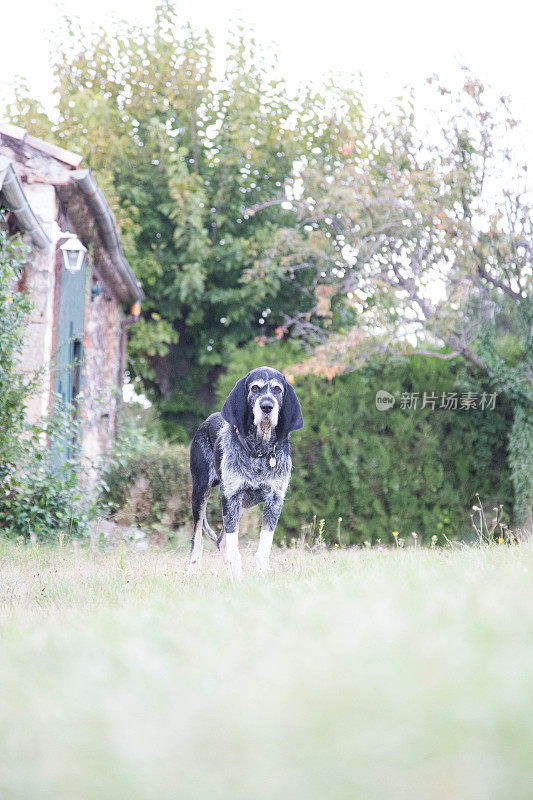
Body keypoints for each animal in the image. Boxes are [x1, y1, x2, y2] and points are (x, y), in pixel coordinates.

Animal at [189, 366, 302, 580]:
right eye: (255, 387)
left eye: (277, 389)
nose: (267, 406)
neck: (259, 451)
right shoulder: (231, 497)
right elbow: (233, 548)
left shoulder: (275, 500)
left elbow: (263, 548)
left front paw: (259, 576)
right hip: (200, 492)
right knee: (197, 539)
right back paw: (193, 571)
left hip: (240, 507)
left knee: (221, 541)